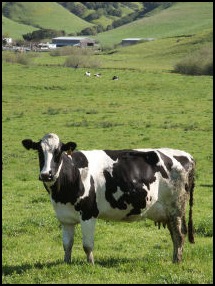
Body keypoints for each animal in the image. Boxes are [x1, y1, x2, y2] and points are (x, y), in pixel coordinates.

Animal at [21, 134, 195, 264]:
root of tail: (187, 156)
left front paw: (90, 265)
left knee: (179, 235)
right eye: (39, 151)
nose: (46, 174)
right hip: (169, 212)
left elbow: (87, 245)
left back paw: (177, 261)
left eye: (58, 153)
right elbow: (67, 244)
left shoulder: (88, 213)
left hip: (176, 208)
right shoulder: (65, 217)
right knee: (174, 235)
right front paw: (66, 263)